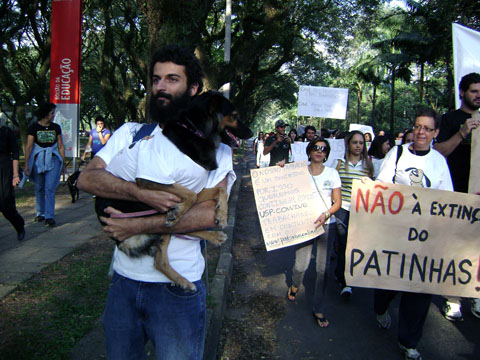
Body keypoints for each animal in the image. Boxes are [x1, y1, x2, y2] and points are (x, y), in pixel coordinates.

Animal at [94, 91, 251, 292]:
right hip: (144, 208)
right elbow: (191, 196)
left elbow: (219, 189)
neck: (196, 131)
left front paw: (222, 215)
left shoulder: (194, 187)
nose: (252, 133)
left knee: (171, 243)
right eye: (235, 115)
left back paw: (210, 239)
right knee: (160, 256)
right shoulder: (150, 180)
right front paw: (182, 212)